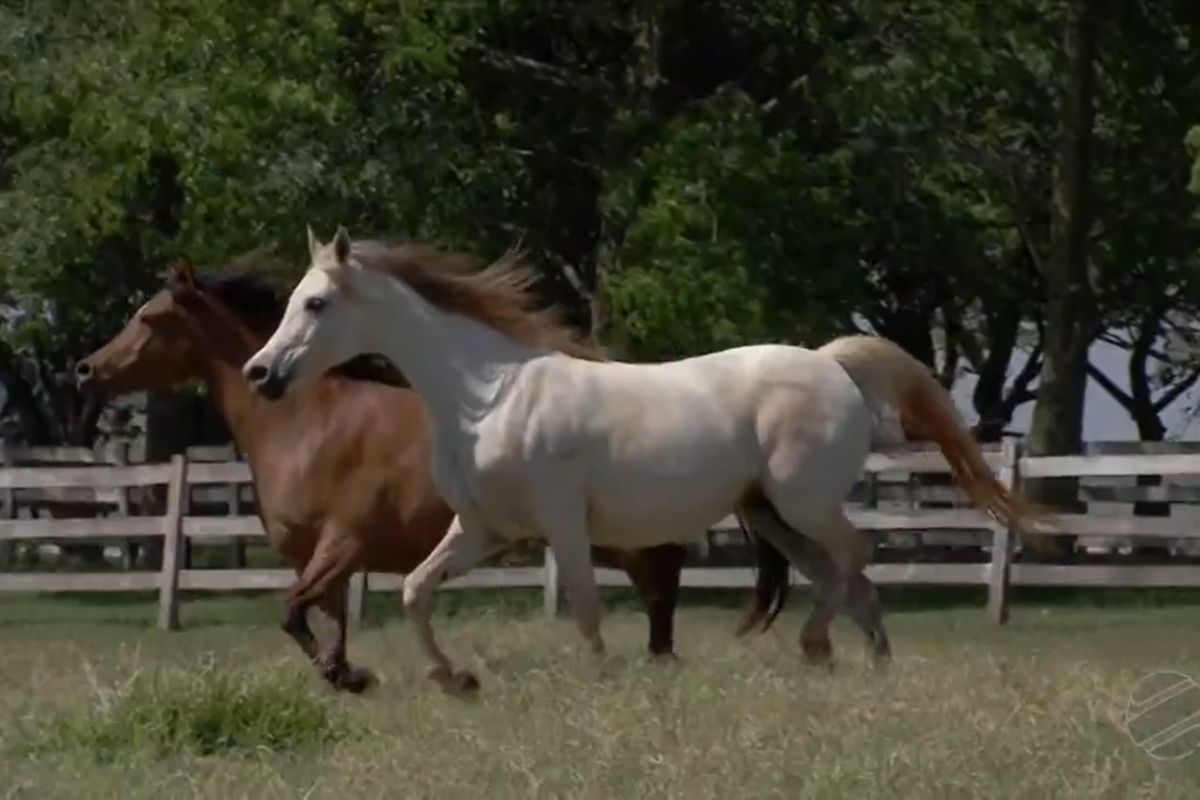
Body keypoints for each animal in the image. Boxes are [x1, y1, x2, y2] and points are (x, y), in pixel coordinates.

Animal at [75, 255, 696, 690]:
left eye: (149, 317)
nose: (86, 369)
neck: (308, 425)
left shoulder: (343, 545)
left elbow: (293, 614)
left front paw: (357, 678)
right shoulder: (316, 558)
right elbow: (322, 625)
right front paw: (348, 674)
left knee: (659, 586)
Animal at [241, 226, 1032, 695]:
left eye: (315, 304)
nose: (260, 374)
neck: (486, 395)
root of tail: (832, 363)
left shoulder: (561, 523)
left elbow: (588, 607)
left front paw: (599, 677)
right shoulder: (483, 530)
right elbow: (415, 590)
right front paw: (452, 678)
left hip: (801, 502)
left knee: (854, 556)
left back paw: (823, 647)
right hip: (773, 515)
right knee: (847, 575)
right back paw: (858, 665)